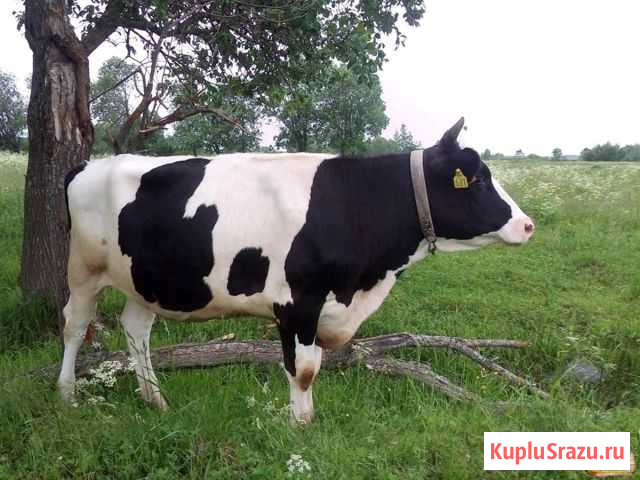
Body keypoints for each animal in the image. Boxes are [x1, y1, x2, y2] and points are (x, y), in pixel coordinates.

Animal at [58, 117, 534, 423]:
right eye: (477, 180)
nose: (527, 225)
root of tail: (89, 164)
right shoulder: (297, 302)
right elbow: (303, 370)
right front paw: (300, 428)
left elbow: (314, 365)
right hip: (84, 268)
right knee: (74, 324)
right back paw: (66, 393)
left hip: (146, 279)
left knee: (136, 329)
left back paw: (155, 400)